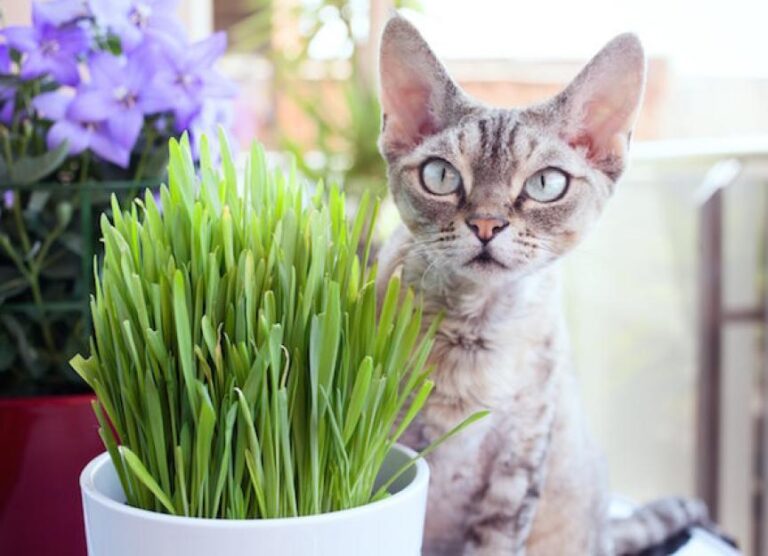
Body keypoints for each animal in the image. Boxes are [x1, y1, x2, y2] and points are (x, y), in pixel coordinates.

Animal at [376, 14, 712, 556]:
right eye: (441, 176)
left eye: (545, 184)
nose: (486, 224)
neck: (475, 335)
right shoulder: (396, 439)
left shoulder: (518, 462)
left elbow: (494, 544)